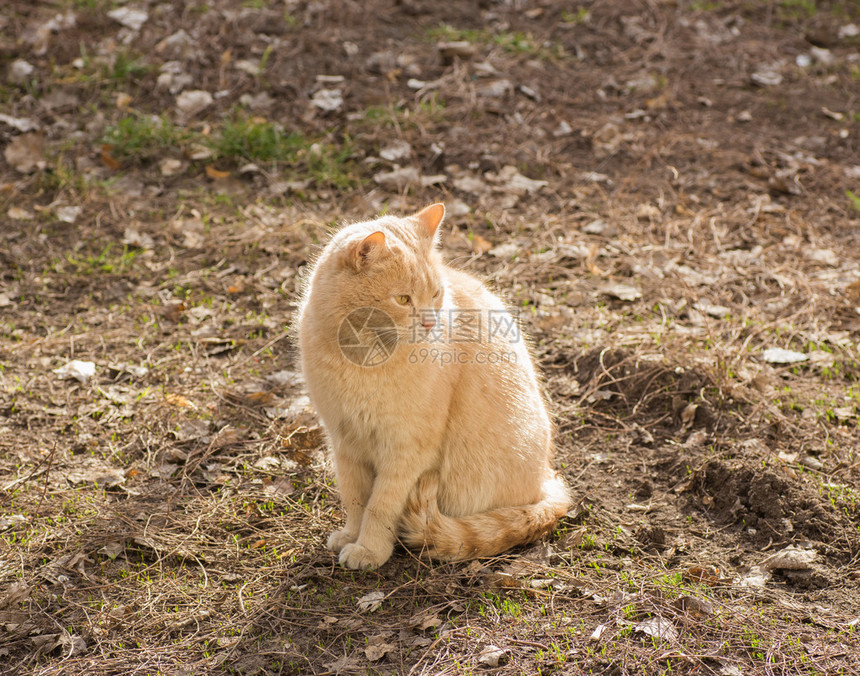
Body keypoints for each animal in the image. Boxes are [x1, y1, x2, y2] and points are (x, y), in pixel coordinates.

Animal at [296, 202, 572, 572]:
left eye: (436, 294)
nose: (429, 322)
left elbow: (379, 505)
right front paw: (351, 535)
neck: (362, 358)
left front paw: (369, 549)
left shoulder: (406, 450)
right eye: (403, 299)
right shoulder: (345, 441)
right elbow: (355, 499)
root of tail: (545, 478)